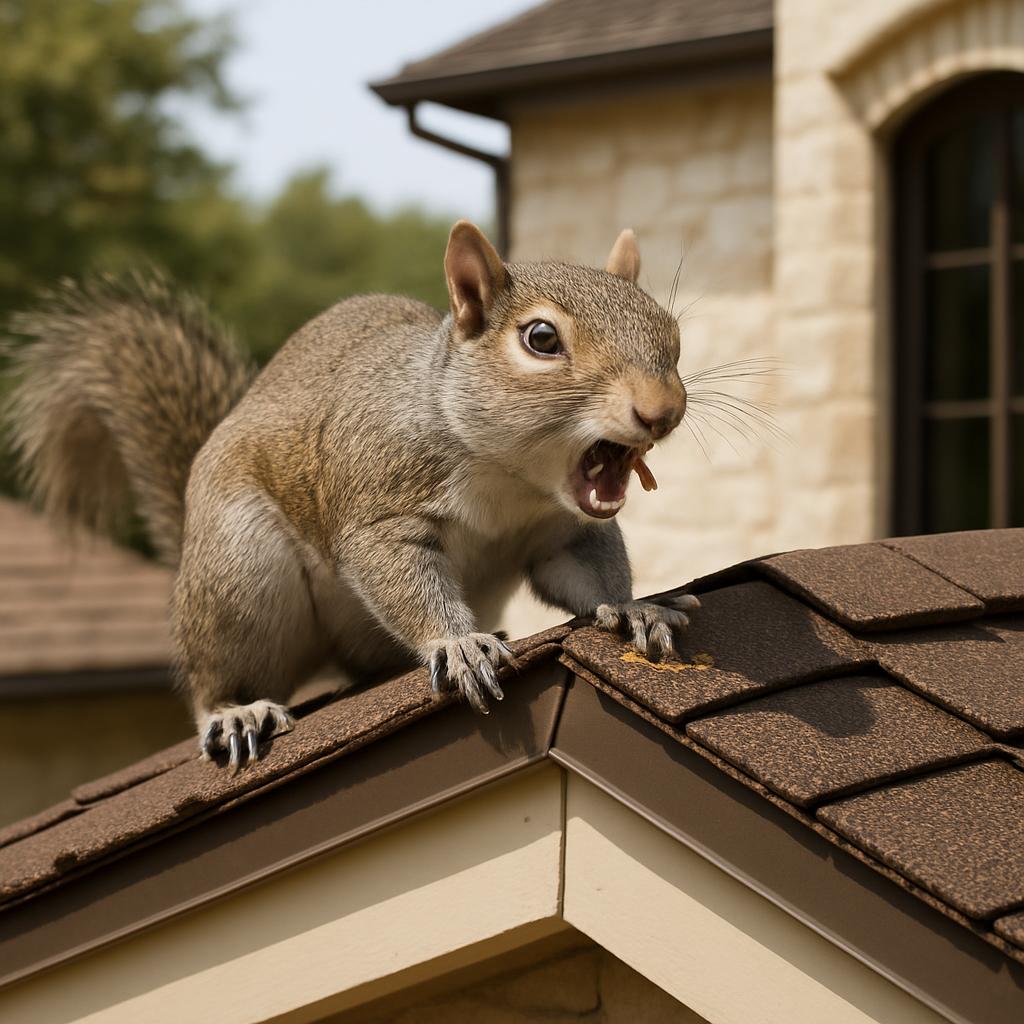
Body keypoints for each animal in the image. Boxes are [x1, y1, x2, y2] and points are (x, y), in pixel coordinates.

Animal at [6, 221, 698, 770]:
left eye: (671, 332)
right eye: (541, 339)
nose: (661, 412)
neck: (511, 478)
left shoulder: (565, 532)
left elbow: (587, 574)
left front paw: (634, 609)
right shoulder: (381, 504)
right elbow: (399, 577)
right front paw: (458, 644)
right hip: (239, 578)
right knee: (213, 677)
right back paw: (235, 711)